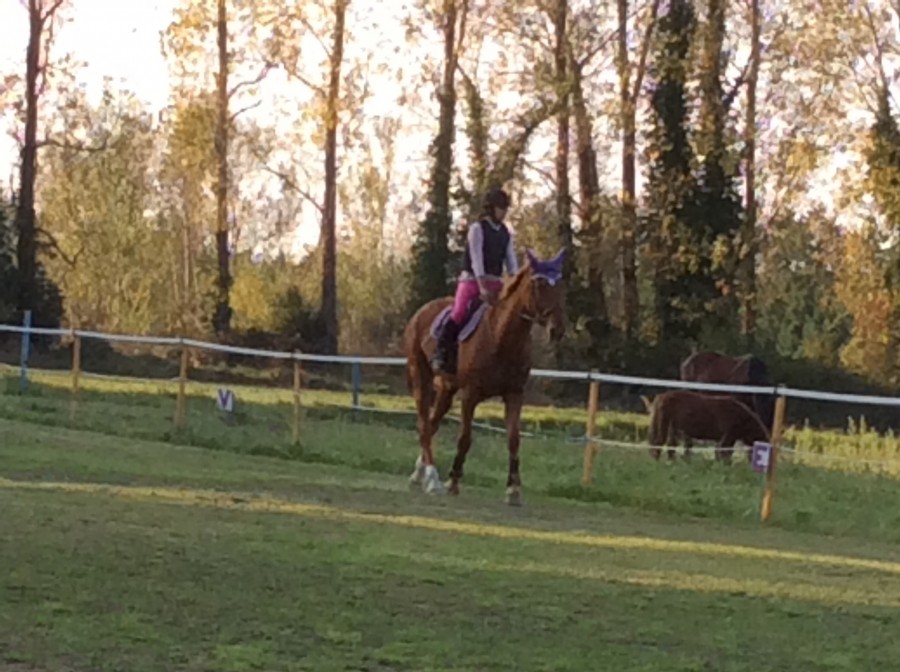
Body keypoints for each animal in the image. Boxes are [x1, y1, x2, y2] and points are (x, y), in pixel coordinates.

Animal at [404, 248, 567, 506]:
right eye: (539, 284)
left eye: (561, 285)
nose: (557, 329)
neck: (501, 337)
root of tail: (422, 312)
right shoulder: (470, 395)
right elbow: (465, 437)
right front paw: (453, 481)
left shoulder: (514, 395)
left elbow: (513, 439)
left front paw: (513, 489)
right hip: (421, 377)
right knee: (423, 424)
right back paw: (432, 478)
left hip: (447, 389)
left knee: (431, 424)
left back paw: (420, 473)